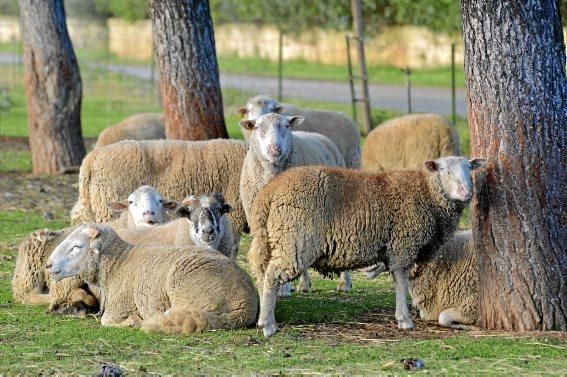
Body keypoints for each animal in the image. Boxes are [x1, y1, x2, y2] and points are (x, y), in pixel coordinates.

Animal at [45, 223, 260, 332]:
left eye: (77, 246)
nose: (48, 265)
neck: (117, 263)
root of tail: (244, 306)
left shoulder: (120, 307)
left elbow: (106, 321)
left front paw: (133, 321)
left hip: (187, 293)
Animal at [239, 113, 352, 296]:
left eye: (286, 126)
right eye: (257, 127)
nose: (274, 150)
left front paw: (282, 289)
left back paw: (345, 283)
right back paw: (304, 284)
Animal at [248, 154, 488, 336]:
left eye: (469, 168)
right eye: (445, 170)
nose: (466, 191)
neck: (427, 193)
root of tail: (269, 192)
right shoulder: (403, 244)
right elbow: (401, 281)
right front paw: (404, 320)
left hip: (272, 239)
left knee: (262, 273)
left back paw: (265, 318)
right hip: (294, 240)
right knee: (272, 276)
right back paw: (268, 326)